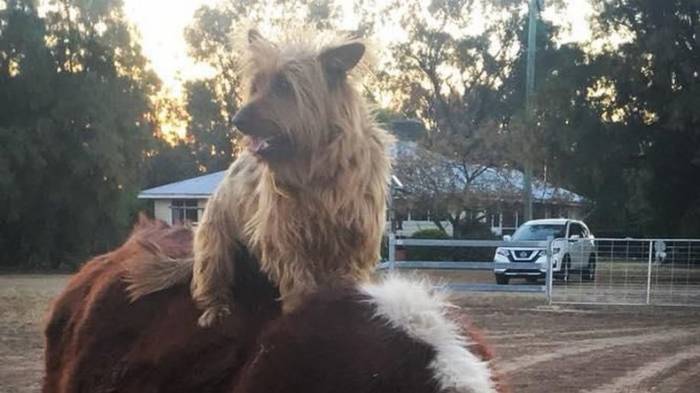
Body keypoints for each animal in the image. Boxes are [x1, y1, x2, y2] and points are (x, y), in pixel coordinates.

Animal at [130, 29, 394, 324]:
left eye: (284, 86)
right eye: (256, 85)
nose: (237, 120)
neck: (315, 167)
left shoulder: (353, 242)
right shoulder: (286, 238)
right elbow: (299, 285)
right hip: (214, 245)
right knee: (210, 282)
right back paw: (215, 310)